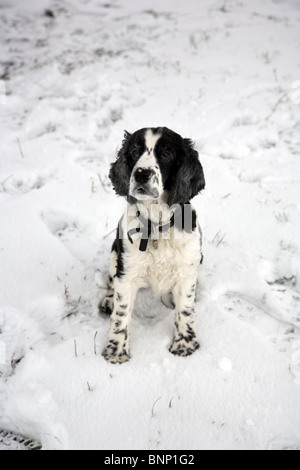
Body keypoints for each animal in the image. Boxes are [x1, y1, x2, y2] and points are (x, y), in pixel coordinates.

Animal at [99, 127, 205, 364]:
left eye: (166, 154)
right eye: (134, 151)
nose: (141, 174)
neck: (156, 227)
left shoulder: (186, 269)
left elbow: (185, 309)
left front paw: (184, 346)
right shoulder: (127, 271)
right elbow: (121, 313)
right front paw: (117, 352)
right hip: (114, 254)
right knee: (111, 281)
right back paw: (108, 301)